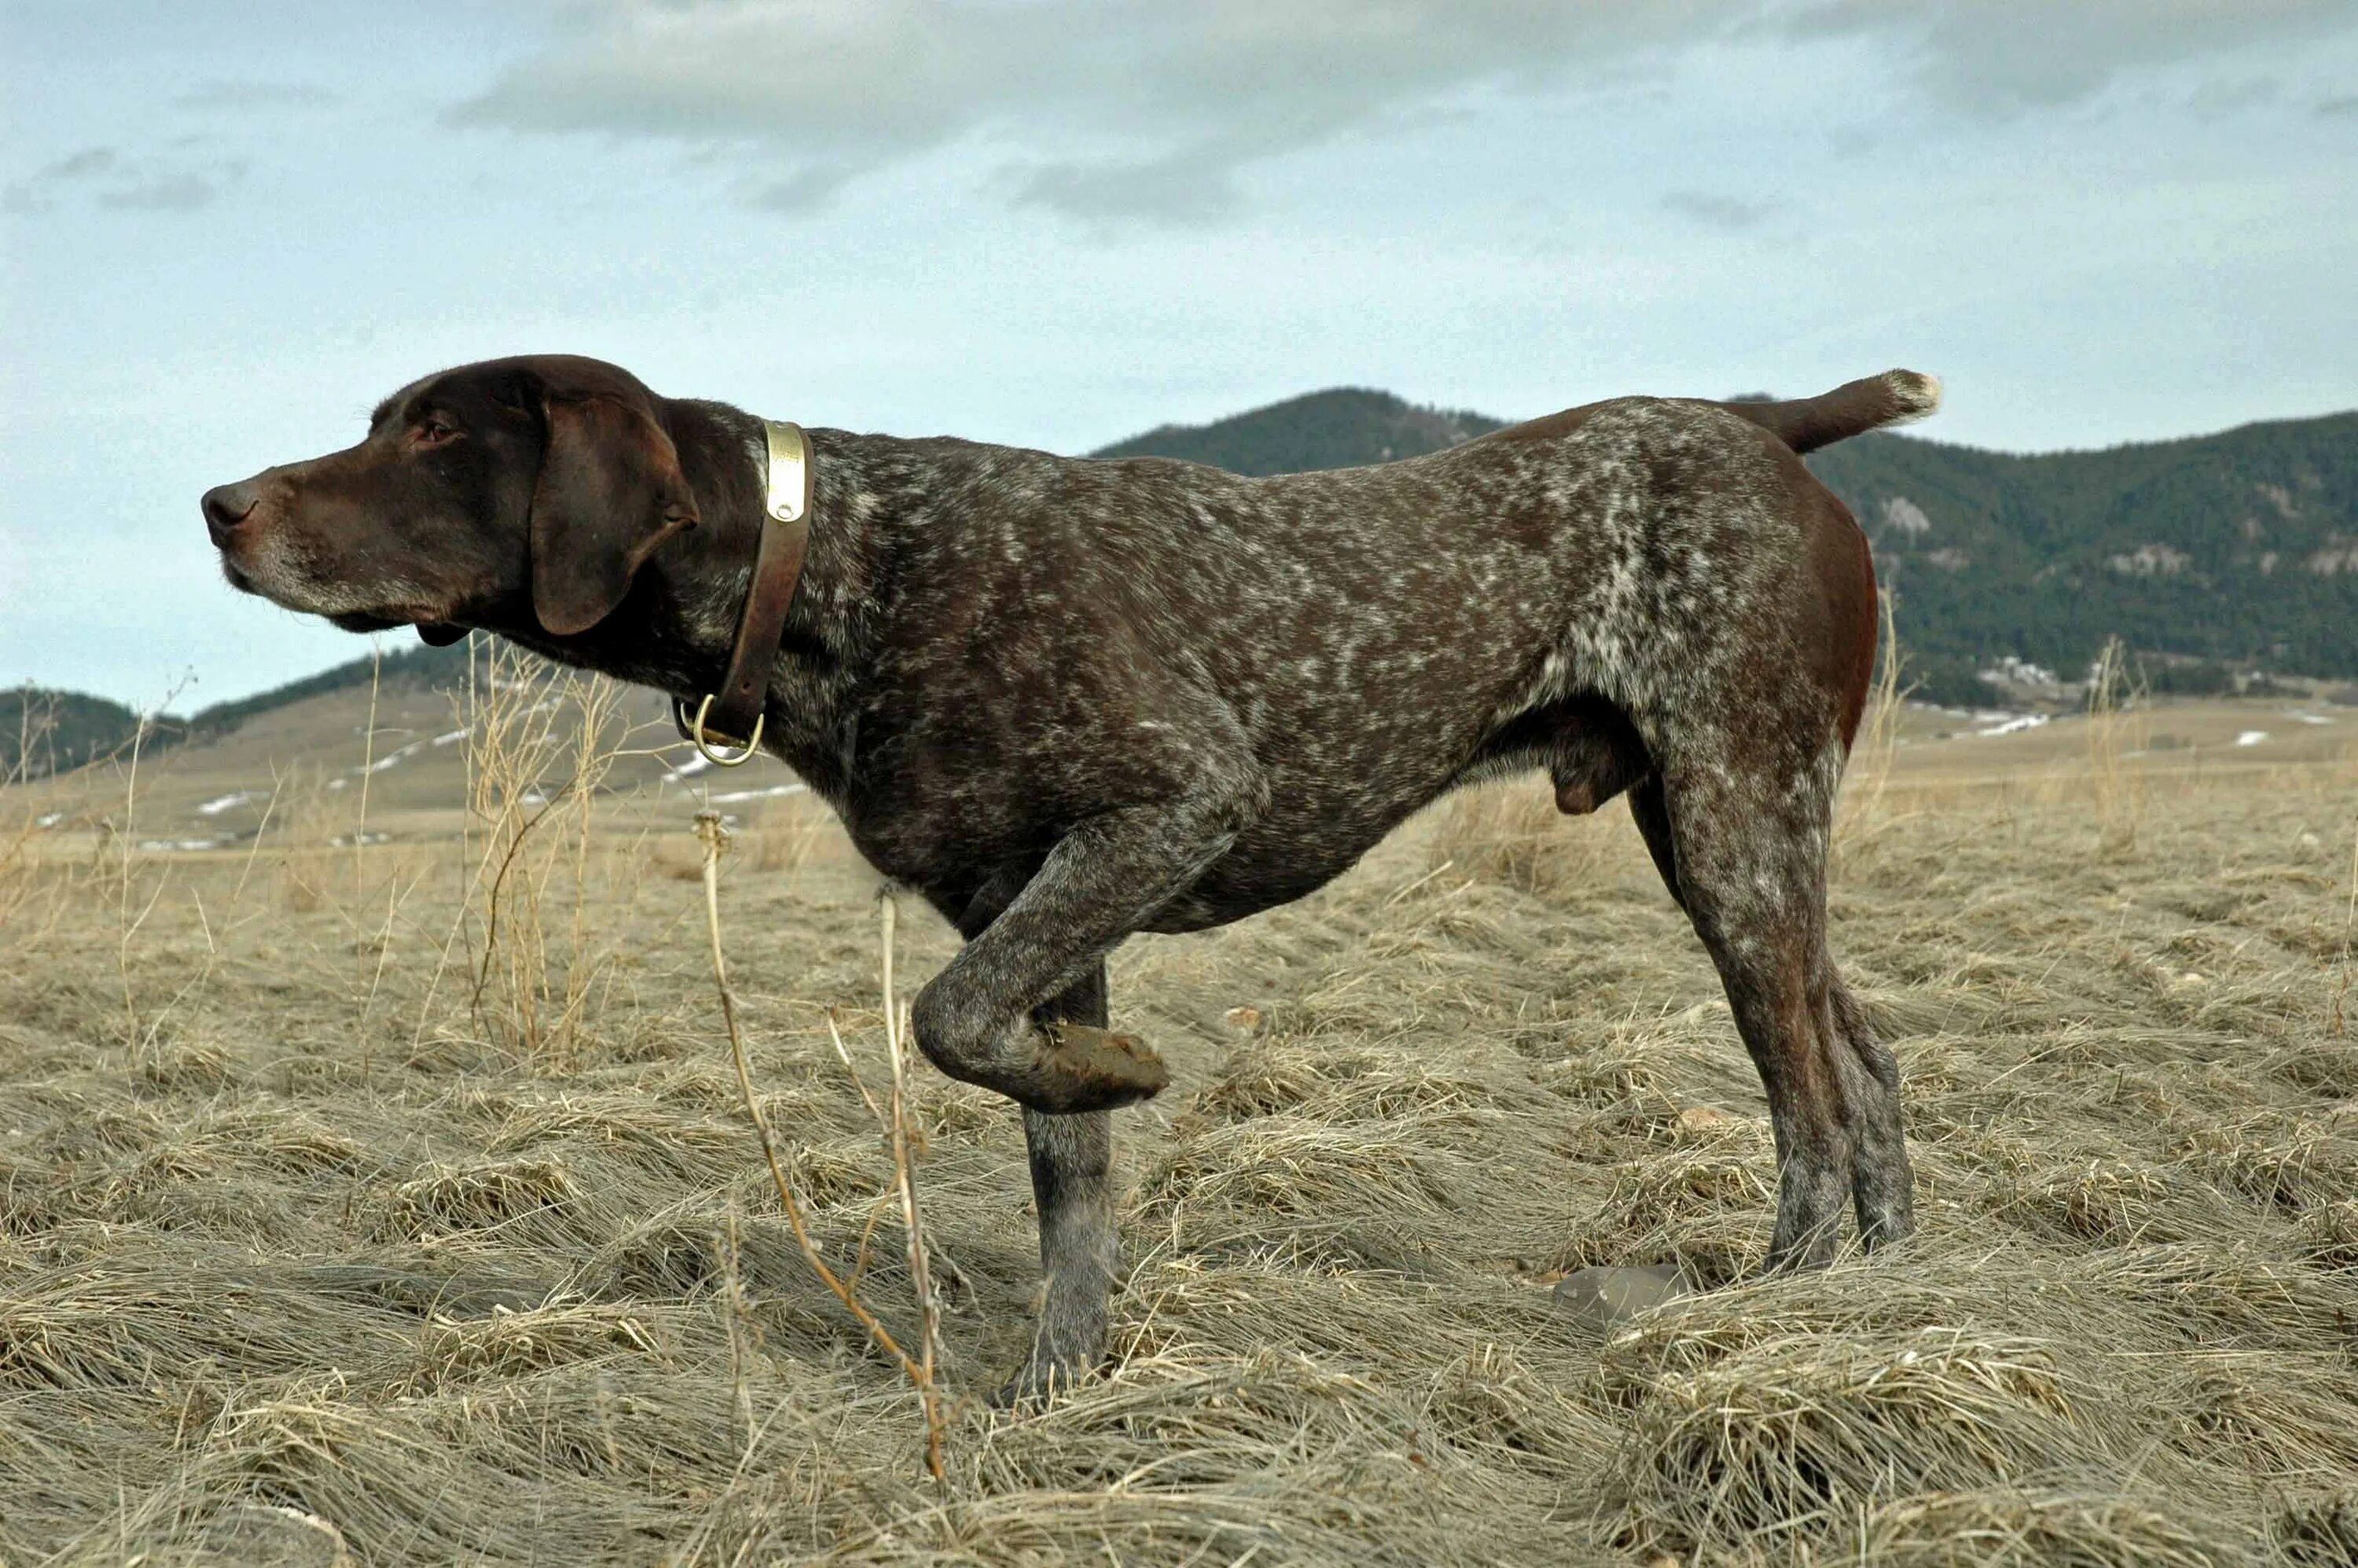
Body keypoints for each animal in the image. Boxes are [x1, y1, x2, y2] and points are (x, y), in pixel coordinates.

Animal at [203, 354, 1934, 1396]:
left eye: (436, 432)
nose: (220, 506)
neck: (838, 572)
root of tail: (1762, 422)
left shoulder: (1168, 808)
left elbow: (955, 1024)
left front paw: (1124, 1072)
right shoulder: (1037, 903)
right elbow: (1061, 1172)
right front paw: (1062, 1385)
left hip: (1734, 818)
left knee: (1808, 1100)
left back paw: (1772, 1307)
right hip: (1733, 836)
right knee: (1864, 1053)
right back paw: (1888, 1281)